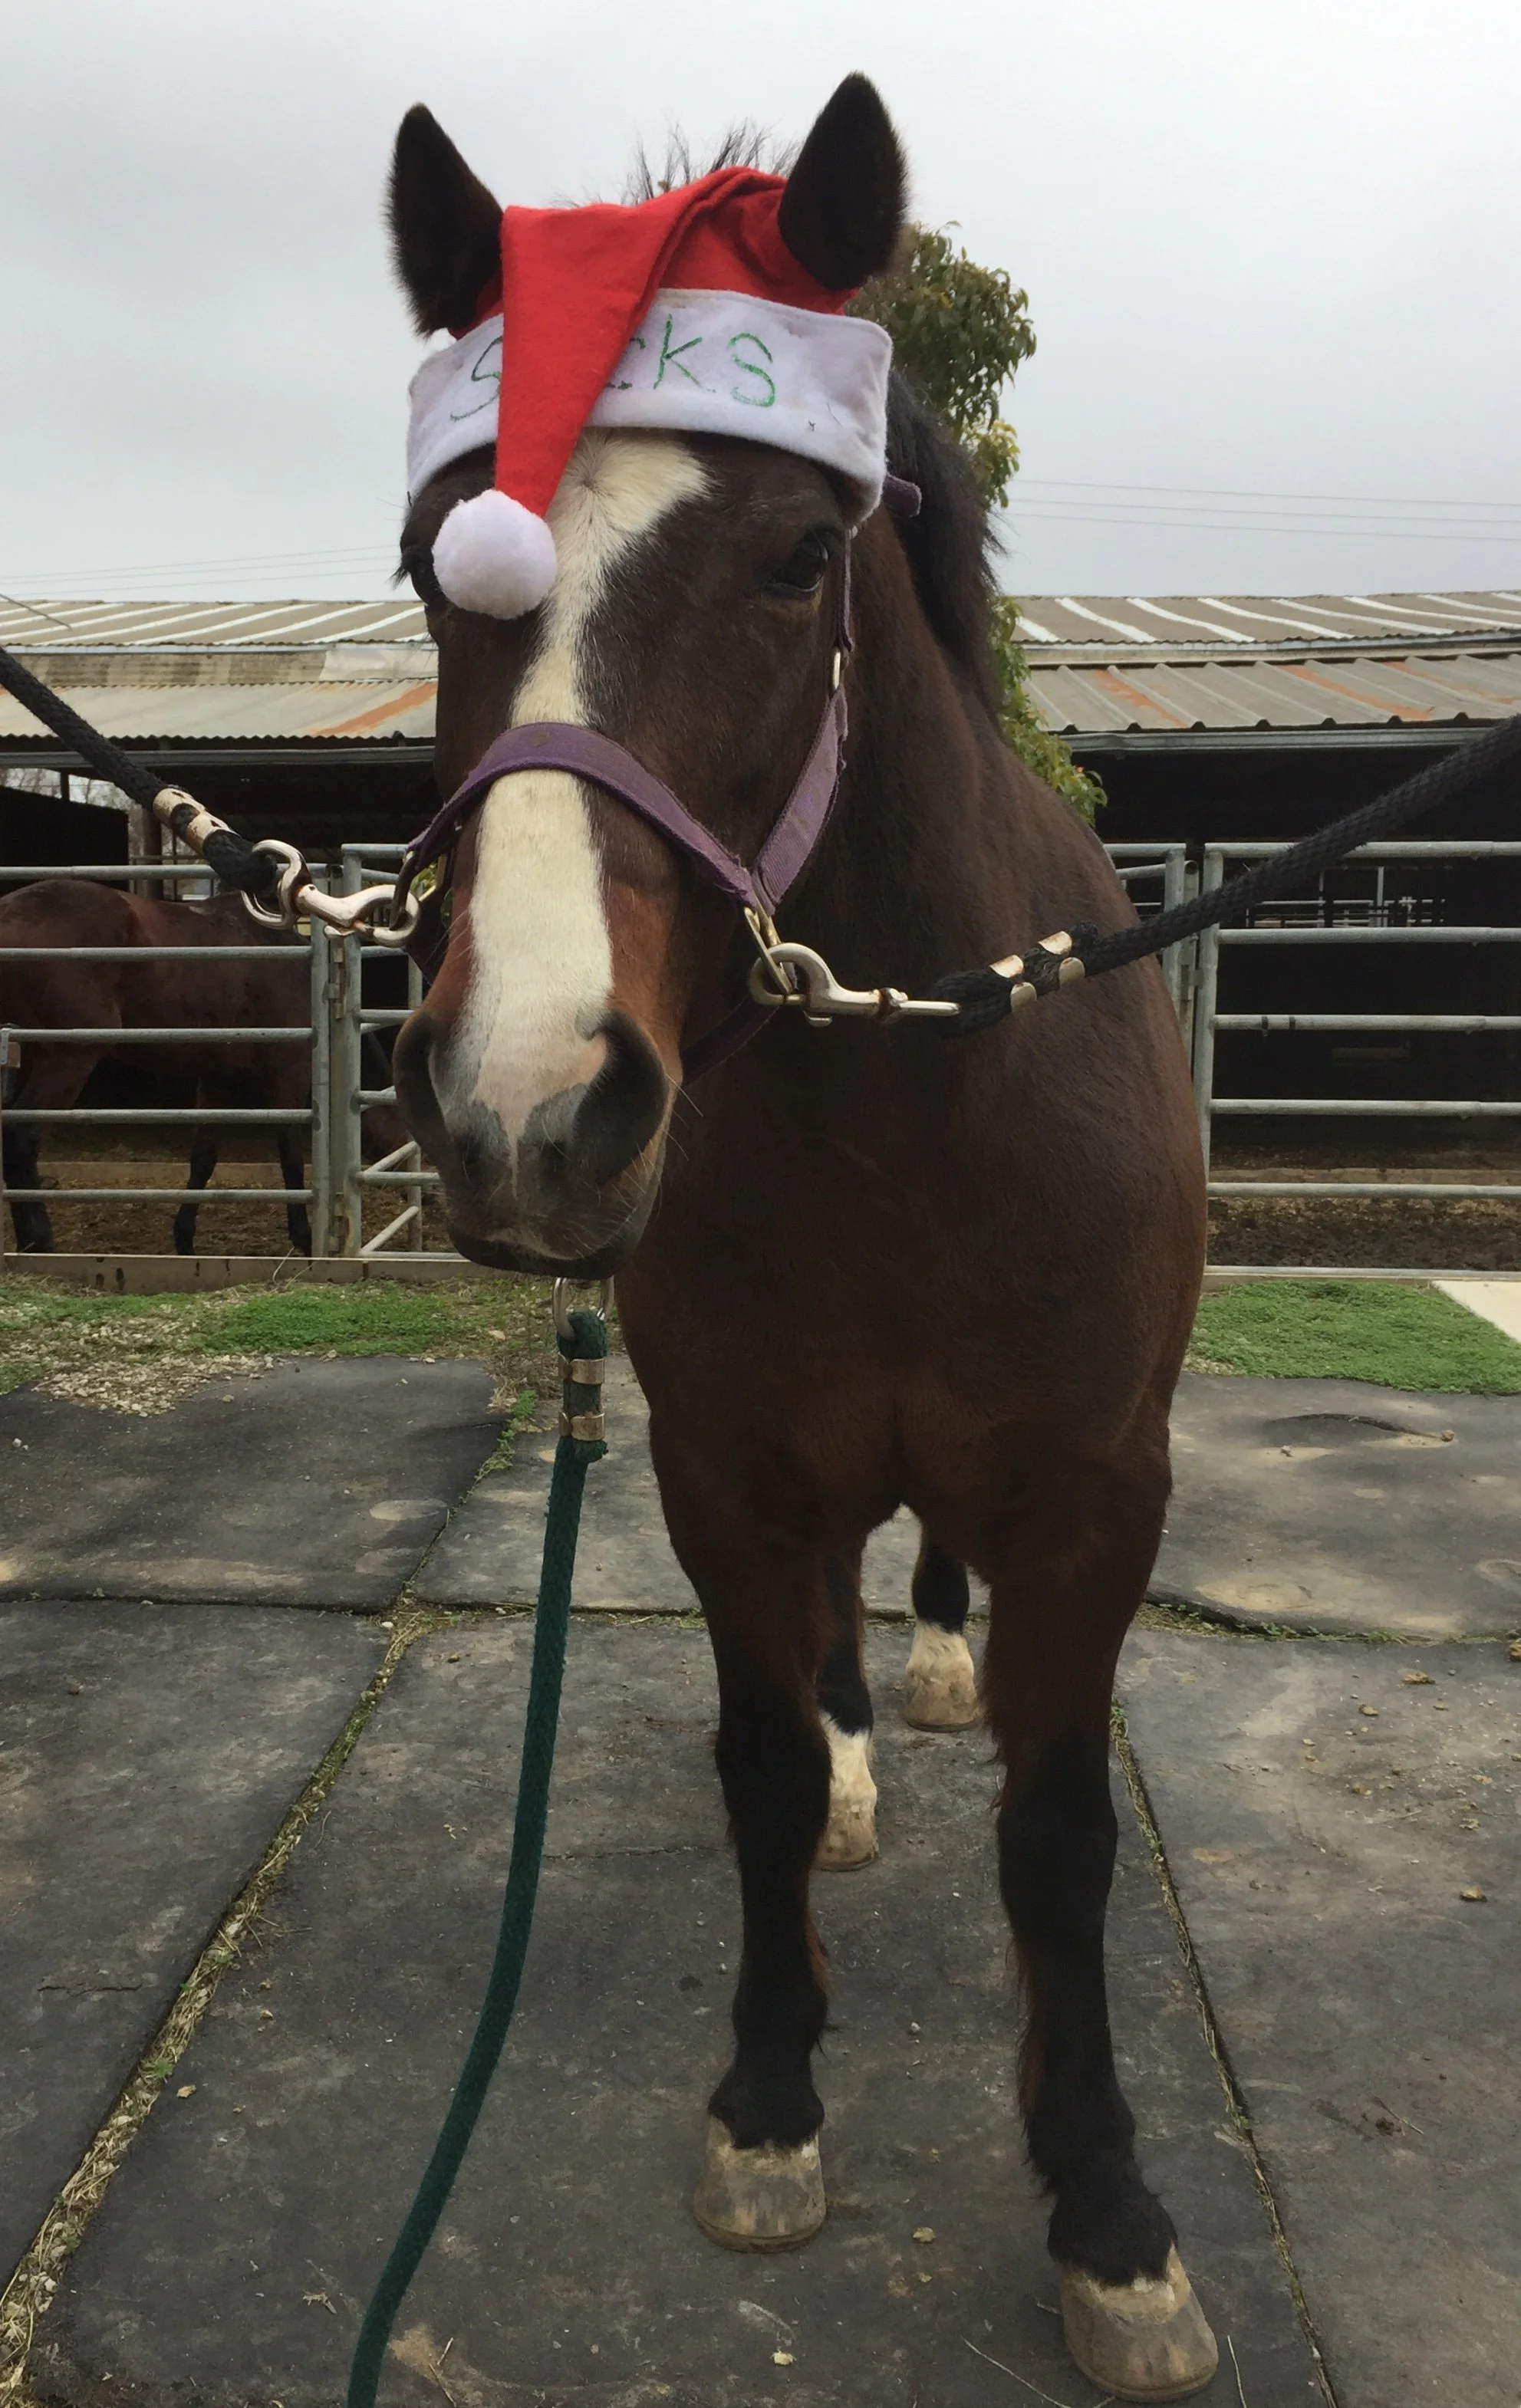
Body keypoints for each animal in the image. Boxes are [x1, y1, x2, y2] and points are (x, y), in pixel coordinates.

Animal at [0, 880, 403, 1256]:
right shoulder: (289, 1072)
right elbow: (290, 1153)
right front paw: (304, 1239)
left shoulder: (217, 1078)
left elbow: (204, 1158)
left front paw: (184, 1239)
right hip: (68, 1058)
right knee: (22, 1137)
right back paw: (40, 1241)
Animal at [387, 77, 1211, 2400]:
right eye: (435, 566)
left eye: (792, 557)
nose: (525, 1103)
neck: (899, 1103)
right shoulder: (726, 1465)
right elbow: (758, 1768)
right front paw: (768, 2101)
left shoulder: (1094, 1493)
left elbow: (1057, 1835)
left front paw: (1106, 2210)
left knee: (921, 1588)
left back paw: (921, 1666)